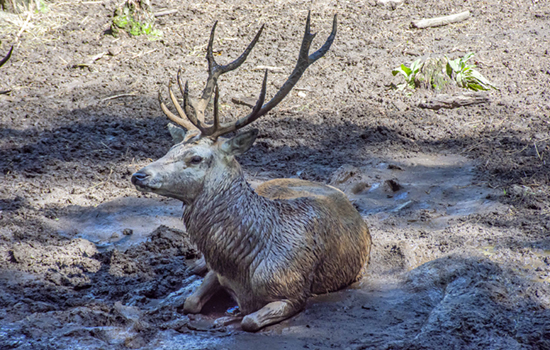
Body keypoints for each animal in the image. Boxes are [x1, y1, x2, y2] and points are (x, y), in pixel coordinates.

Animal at [132, 13, 374, 330]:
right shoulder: (218, 274)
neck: (243, 265)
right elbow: (190, 302)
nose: (139, 175)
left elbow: (248, 320)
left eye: (196, 158)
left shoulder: (295, 293)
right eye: (170, 148)